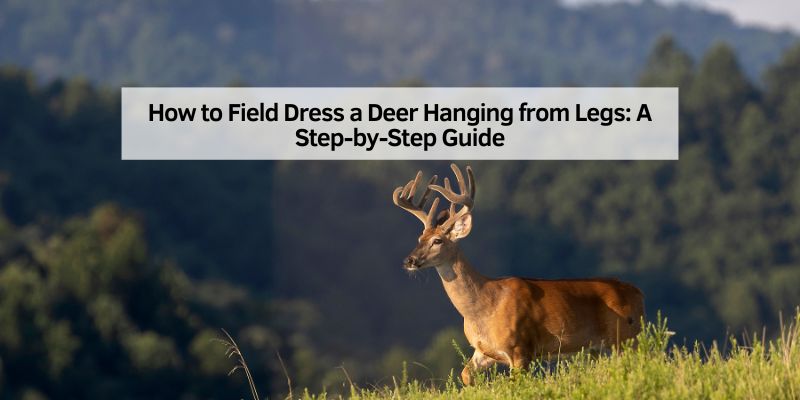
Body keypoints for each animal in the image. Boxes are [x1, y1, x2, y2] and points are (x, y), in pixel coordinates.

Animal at [392, 163, 645, 385]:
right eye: (419, 238)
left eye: (437, 240)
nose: (409, 260)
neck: (484, 306)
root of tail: (637, 292)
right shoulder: (484, 351)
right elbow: (465, 375)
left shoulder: (520, 349)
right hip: (599, 348)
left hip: (625, 338)